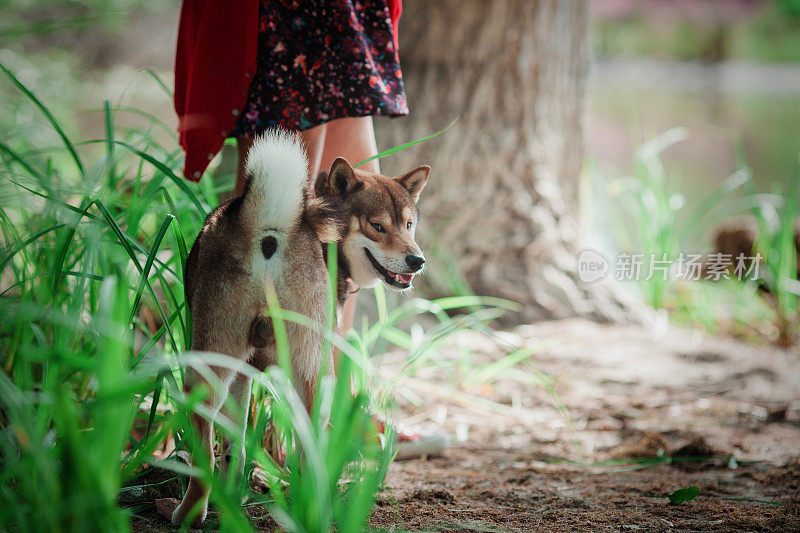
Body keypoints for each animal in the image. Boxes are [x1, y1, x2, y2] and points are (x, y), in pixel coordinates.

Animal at [171, 131, 428, 524]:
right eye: (378, 226)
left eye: (409, 225)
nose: (417, 260)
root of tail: (271, 228)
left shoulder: (243, 371)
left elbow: (234, 443)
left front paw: (232, 497)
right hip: (308, 373)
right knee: (309, 449)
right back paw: (312, 508)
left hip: (218, 362)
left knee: (206, 449)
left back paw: (193, 513)